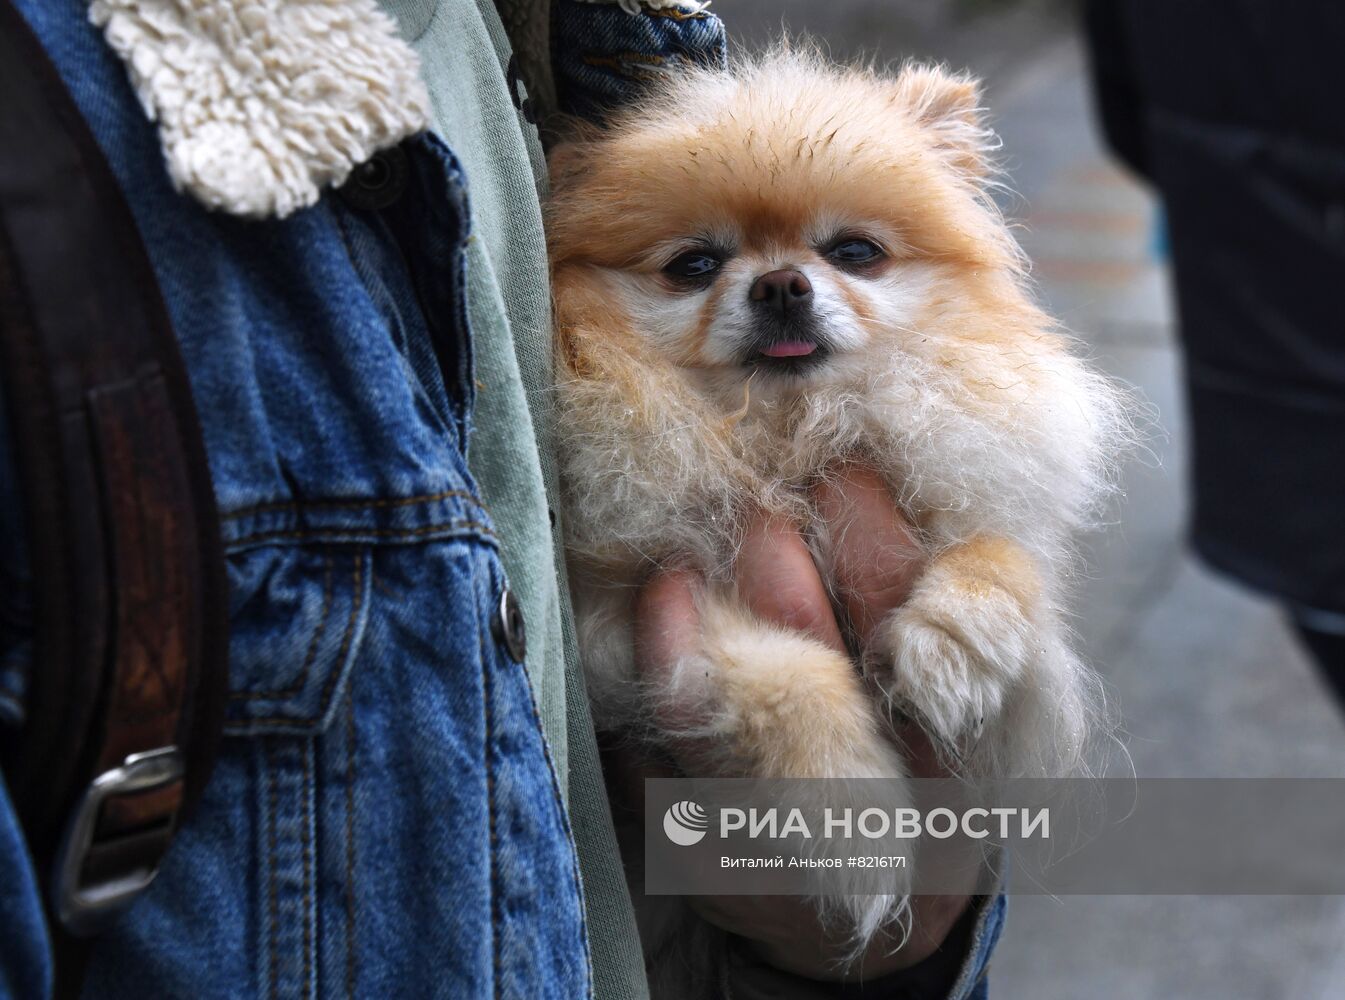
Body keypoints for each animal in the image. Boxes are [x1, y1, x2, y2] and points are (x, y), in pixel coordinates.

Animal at [546, 50, 1135, 979]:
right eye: (693, 265)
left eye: (854, 253)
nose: (781, 284)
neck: (786, 437)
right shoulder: (623, 625)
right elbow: (788, 671)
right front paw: (847, 807)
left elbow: (1002, 558)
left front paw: (957, 638)